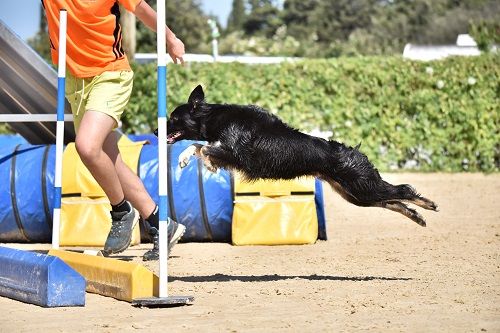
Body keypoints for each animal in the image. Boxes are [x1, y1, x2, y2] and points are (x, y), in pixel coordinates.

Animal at [157, 85, 438, 226]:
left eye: (173, 119)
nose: (156, 130)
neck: (216, 118)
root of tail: (356, 153)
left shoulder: (237, 155)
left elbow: (204, 148)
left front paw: (207, 164)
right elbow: (197, 146)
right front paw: (183, 160)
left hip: (362, 186)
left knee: (402, 190)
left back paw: (427, 206)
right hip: (356, 195)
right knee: (392, 201)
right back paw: (417, 216)